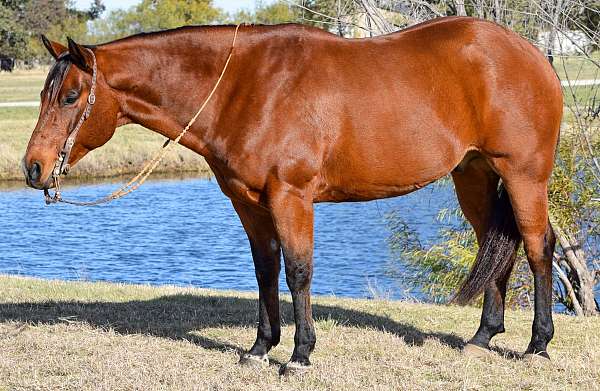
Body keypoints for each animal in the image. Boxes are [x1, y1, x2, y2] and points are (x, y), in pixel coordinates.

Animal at [23, 16, 564, 376]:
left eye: (70, 96)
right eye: (46, 94)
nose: (33, 168)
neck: (246, 87)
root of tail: (534, 55)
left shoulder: (292, 198)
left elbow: (298, 271)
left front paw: (300, 354)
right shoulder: (248, 202)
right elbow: (265, 271)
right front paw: (260, 347)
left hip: (524, 176)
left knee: (539, 248)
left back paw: (537, 344)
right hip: (473, 175)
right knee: (498, 248)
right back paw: (482, 338)